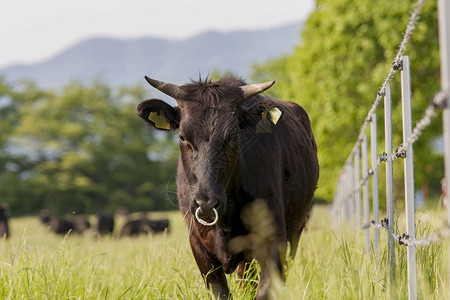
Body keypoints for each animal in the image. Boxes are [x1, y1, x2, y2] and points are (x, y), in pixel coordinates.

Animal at [137, 75, 320, 298]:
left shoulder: (274, 241)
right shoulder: (199, 246)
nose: (206, 204)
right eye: (182, 137)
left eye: (233, 136)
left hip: (296, 230)